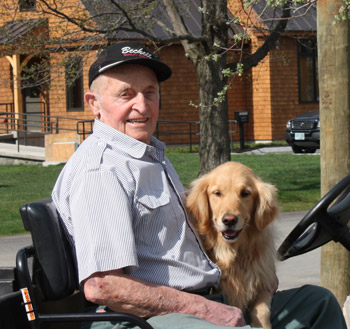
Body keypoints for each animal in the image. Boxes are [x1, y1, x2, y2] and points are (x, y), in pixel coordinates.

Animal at [186, 161, 278, 328]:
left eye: (245, 193)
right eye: (217, 193)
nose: (229, 220)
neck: (234, 253)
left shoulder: (264, 282)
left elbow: (262, 312)